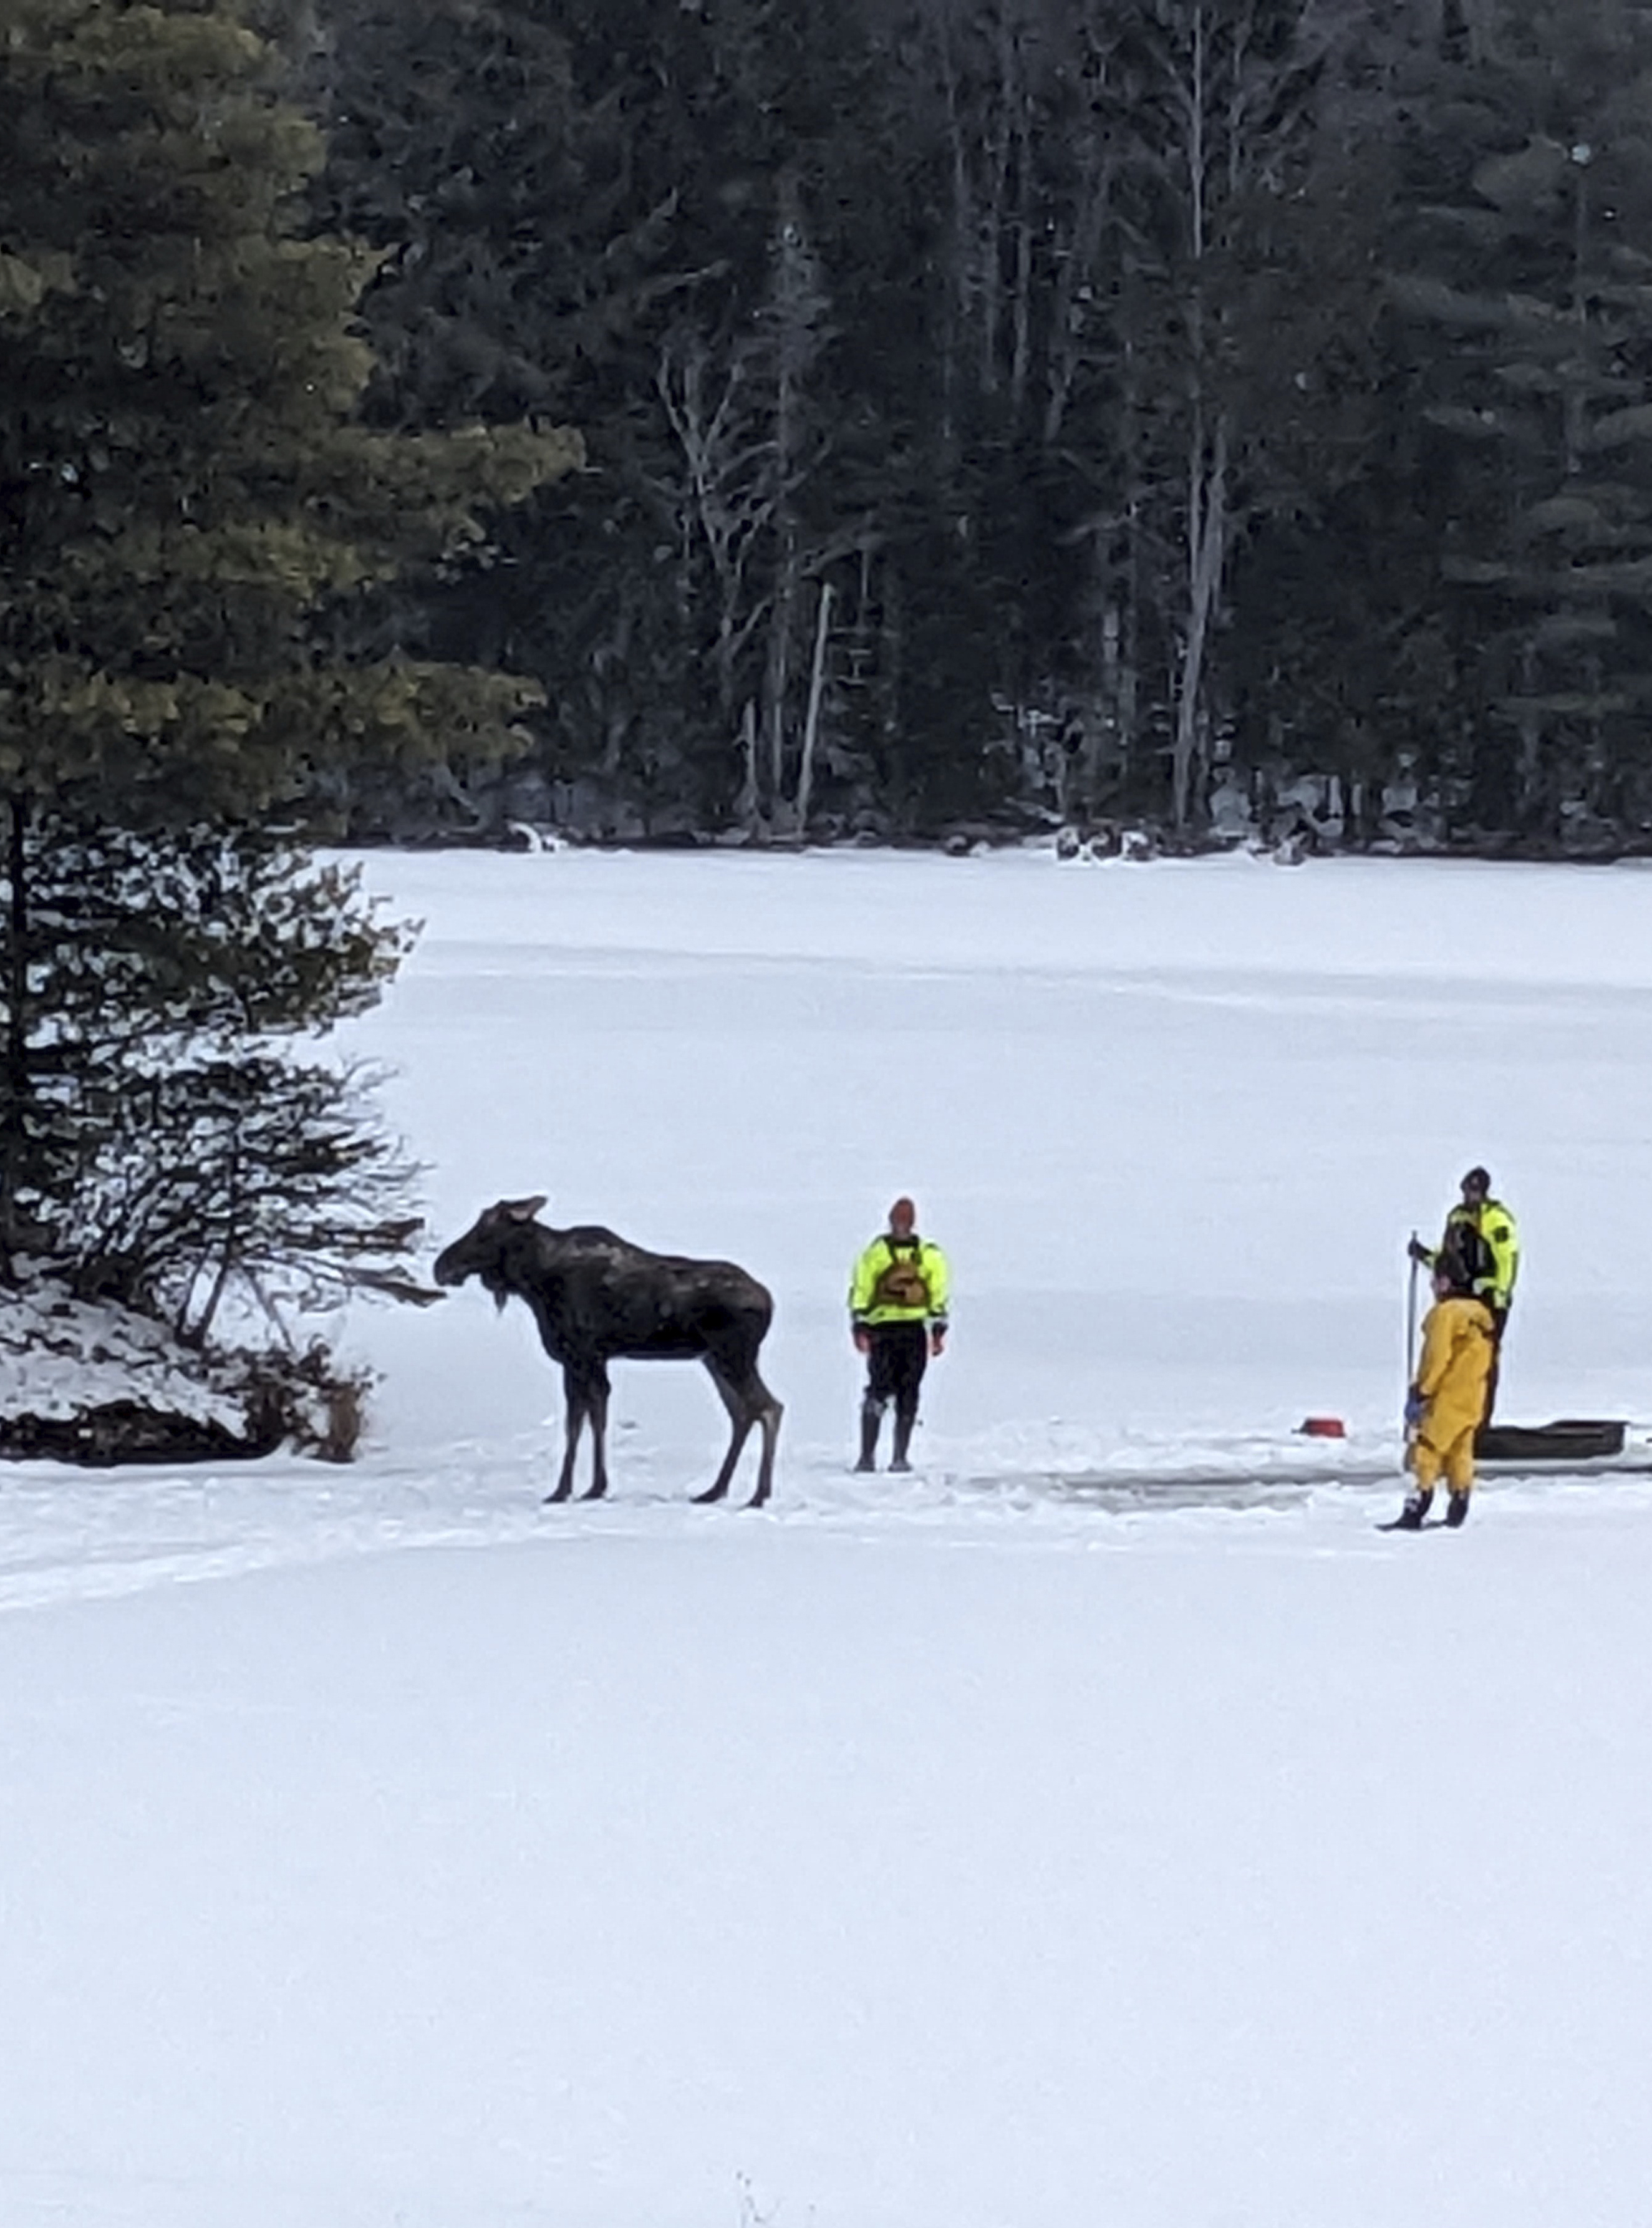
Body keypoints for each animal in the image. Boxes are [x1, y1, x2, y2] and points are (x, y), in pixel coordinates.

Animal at [434, 1203, 783, 1514]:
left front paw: (566, 1490)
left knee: (769, 1408)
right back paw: (715, 1490)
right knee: (743, 1413)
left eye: (485, 1231)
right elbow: (595, 1417)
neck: (535, 1282)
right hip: (713, 1359)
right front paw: (594, 1487)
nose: (441, 1267)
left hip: (733, 1357)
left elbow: (577, 1424)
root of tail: (769, 1301)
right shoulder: (591, 1360)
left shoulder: (579, 1356)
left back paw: (757, 1495)